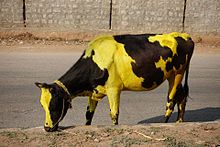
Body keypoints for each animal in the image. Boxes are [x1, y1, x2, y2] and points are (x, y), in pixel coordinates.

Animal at [35, 32, 194, 132]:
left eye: (54, 105)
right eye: (42, 105)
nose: (47, 128)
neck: (95, 60)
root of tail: (184, 36)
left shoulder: (113, 89)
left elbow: (114, 114)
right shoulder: (93, 92)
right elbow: (88, 115)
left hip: (177, 74)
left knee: (171, 101)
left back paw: (165, 124)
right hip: (175, 76)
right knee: (181, 97)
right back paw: (179, 122)